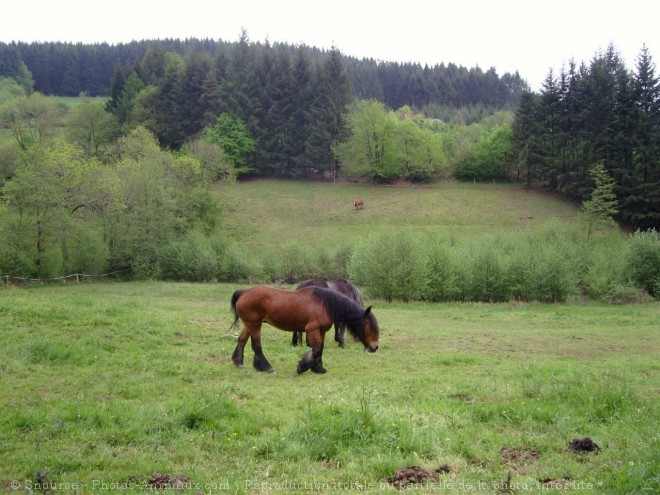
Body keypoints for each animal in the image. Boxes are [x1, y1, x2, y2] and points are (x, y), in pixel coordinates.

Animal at [231, 284, 376, 374]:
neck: (324, 304)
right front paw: (302, 367)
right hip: (255, 324)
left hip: (250, 324)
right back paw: (266, 367)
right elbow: (316, 350)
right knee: (257, 346)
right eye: (368, 326)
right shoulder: (313, 330)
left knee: (242, 340)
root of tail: (244, 293)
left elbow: (320, 349)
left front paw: (318, 368)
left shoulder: (321, 331)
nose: (374, 347)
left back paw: (238, 362)